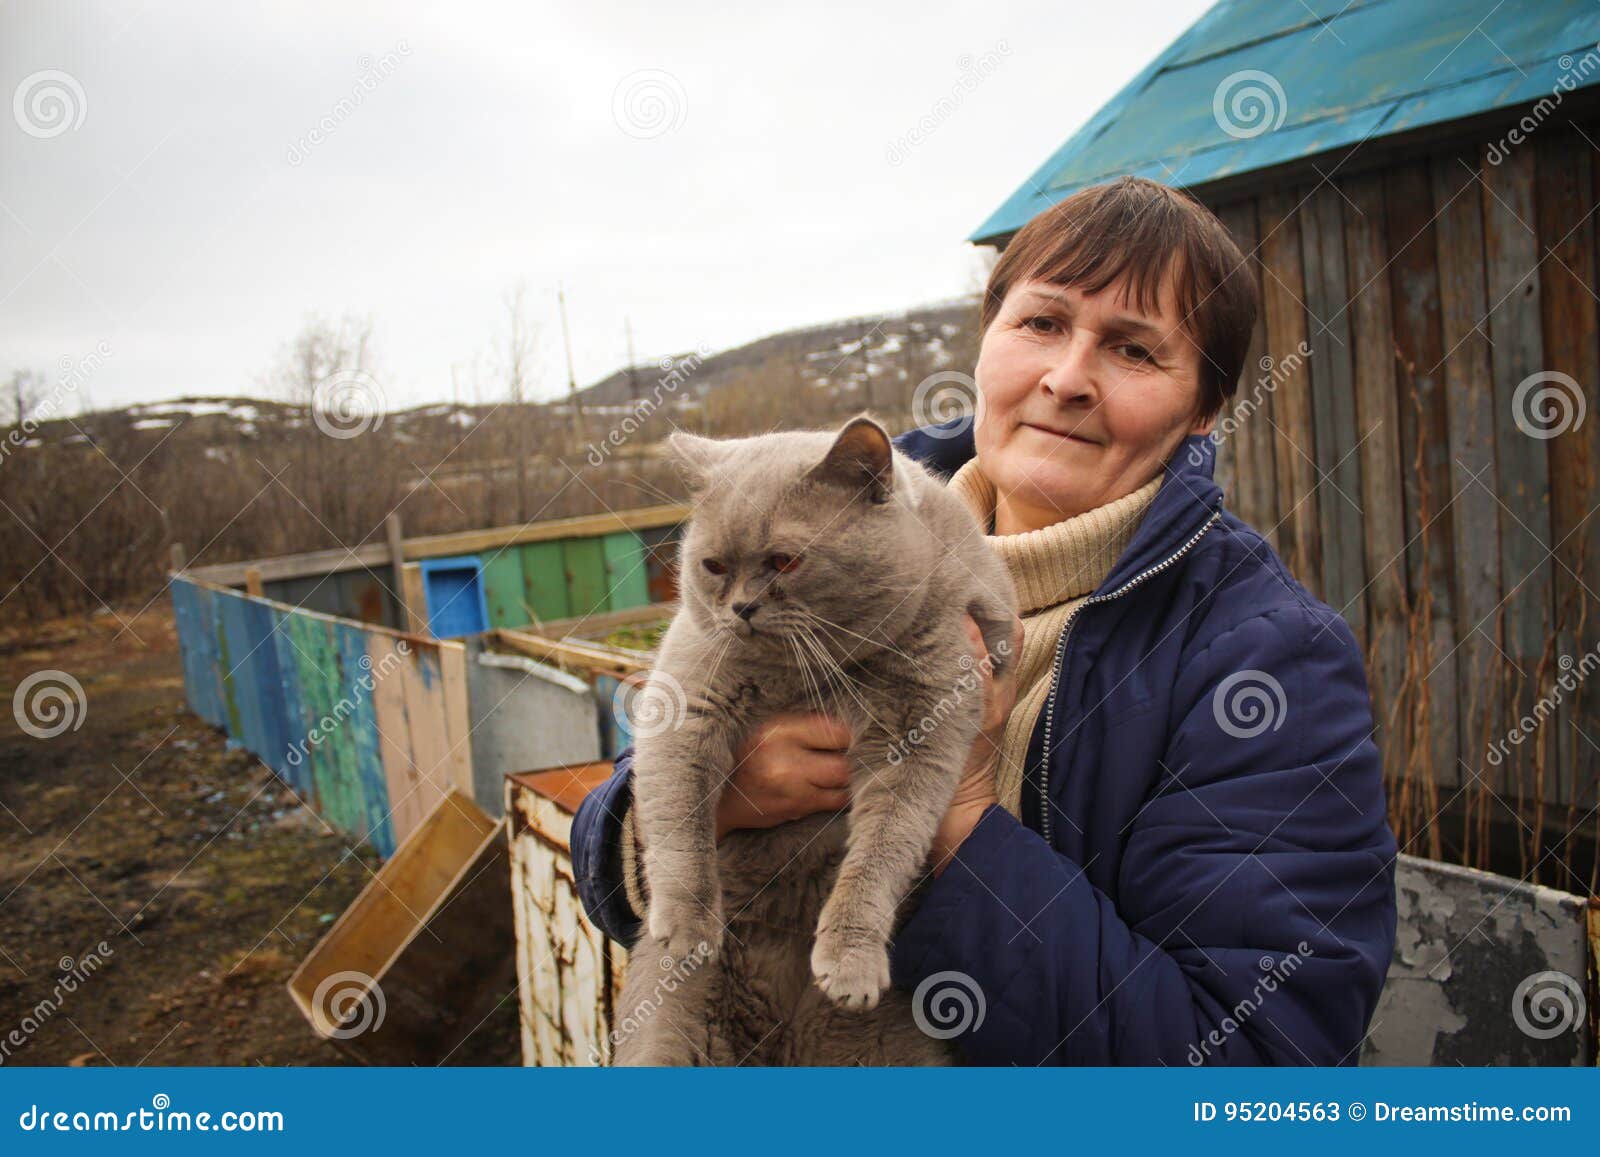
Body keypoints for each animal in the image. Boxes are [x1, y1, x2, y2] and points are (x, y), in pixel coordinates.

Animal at [617, 419, 1017, 1068]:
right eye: (713, 565)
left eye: (785, 560)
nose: (741, 608)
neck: (819, 677)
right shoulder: (686, 699)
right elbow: (678, 814)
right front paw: (687, 926)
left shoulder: (923, 726)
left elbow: (883, 849)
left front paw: (849, 963)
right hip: (670, 1034)